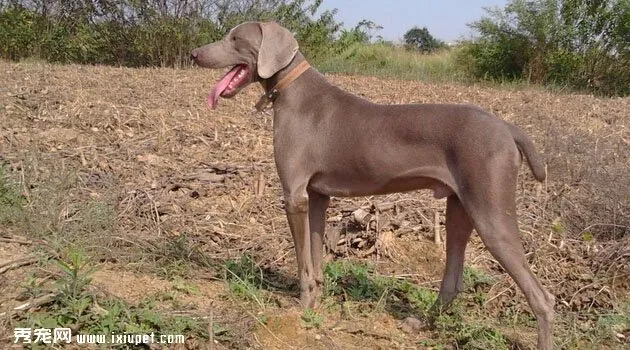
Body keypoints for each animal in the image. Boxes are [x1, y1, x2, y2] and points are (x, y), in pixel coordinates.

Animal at [191, 21, 552, 348]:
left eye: (235, 39)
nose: (194, 54)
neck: (292, 89)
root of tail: (507, 128)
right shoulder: (317, 195)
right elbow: (316, 255)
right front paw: (316, 304)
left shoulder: (294, 195)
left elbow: (302, 260)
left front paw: (300, 310)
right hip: (459, 207)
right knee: (453, 279)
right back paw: (419, 324)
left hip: (490, 209)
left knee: (542, 297)